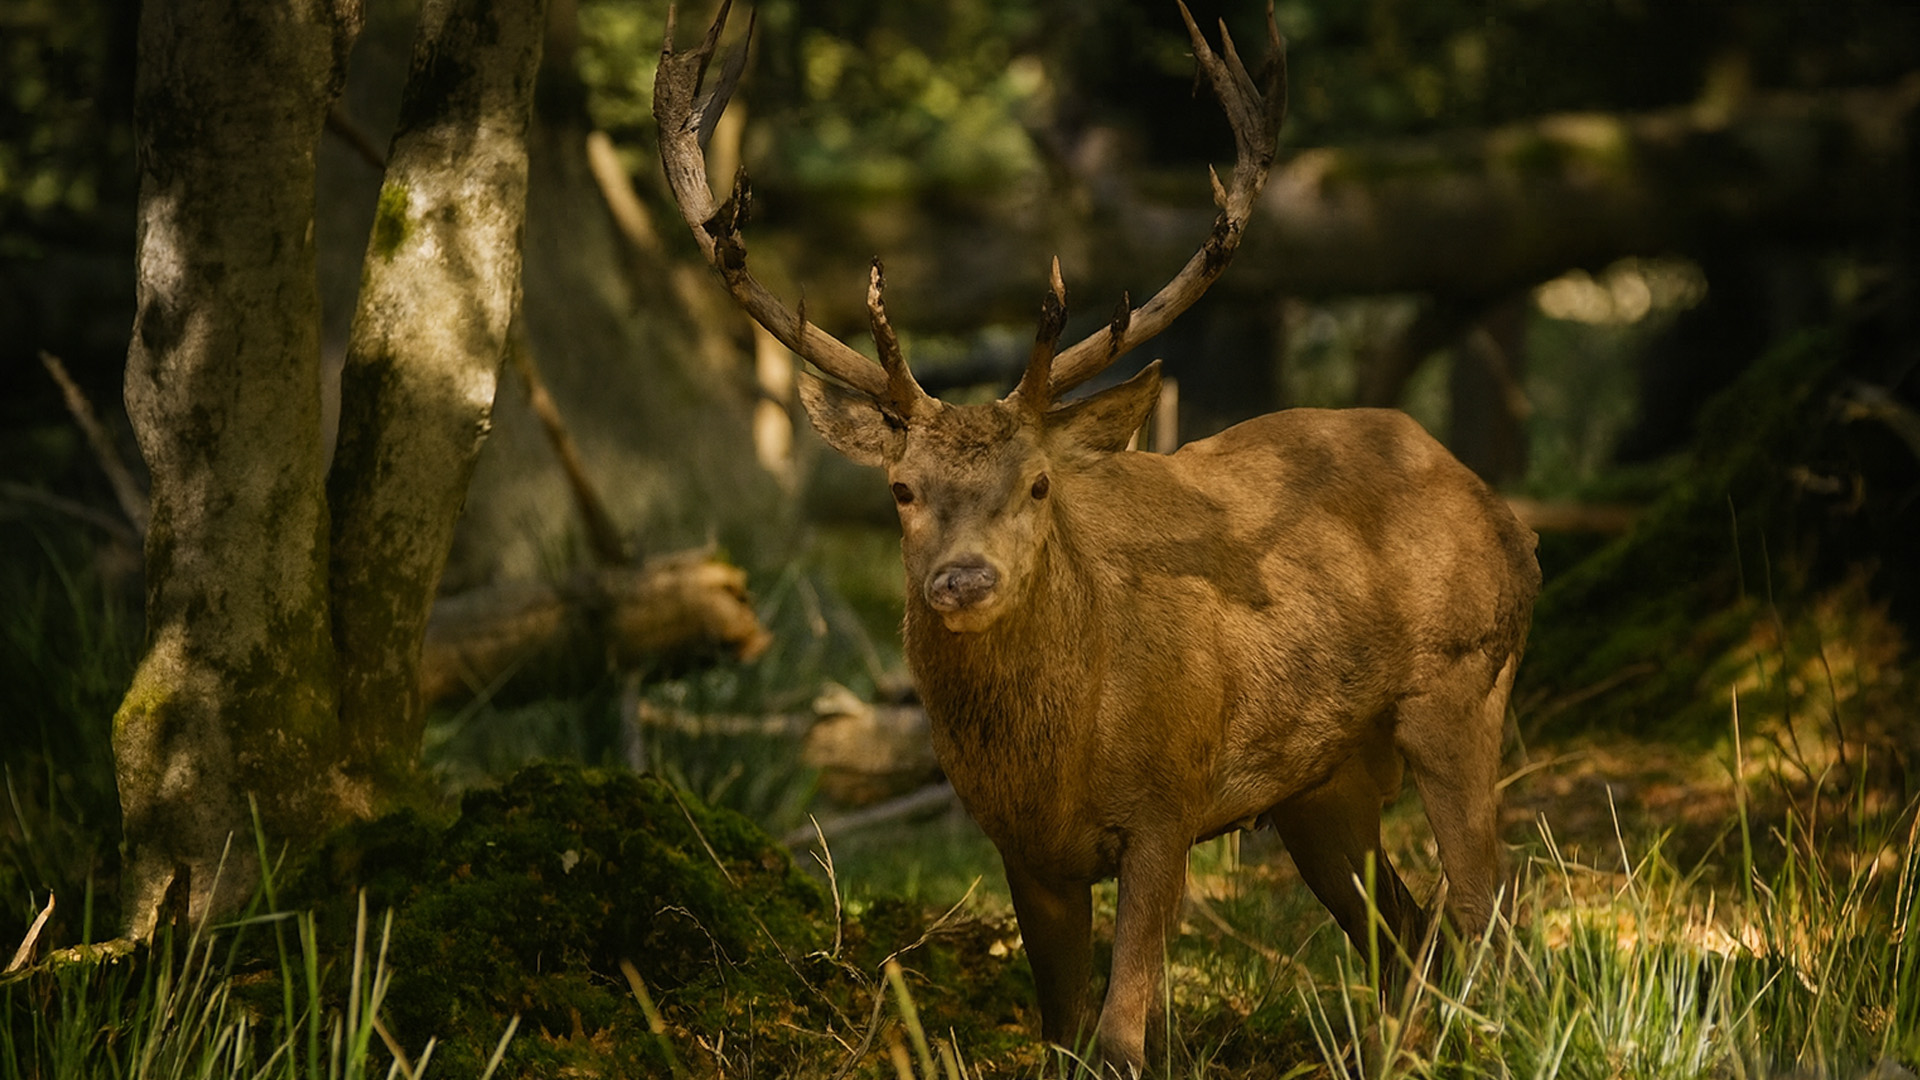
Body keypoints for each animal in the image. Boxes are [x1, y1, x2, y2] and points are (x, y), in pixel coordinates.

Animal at [655, 2, 1541, 1072]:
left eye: (1039, 483)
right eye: (901, 490)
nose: (962, 581)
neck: (1057, 757)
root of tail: (1503, 512)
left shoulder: (1169, 801)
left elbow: (1120, 1036)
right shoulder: (1023, 851)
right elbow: (1060, 1036)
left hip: (1466, 681)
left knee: (1490, 914)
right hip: (1320, 784)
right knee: (1407, 934)